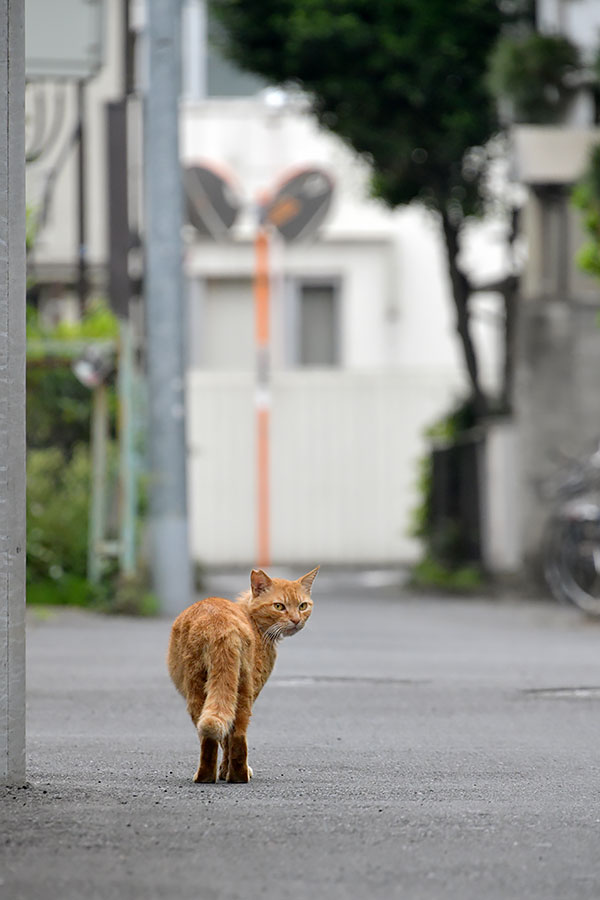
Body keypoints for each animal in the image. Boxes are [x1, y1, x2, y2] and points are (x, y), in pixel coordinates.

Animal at [168, 568, 318, 780]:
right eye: (279, 606)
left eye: (302, 606)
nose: (296, 620)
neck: (252, 620)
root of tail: (219, 623)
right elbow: (226, 740)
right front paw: (225, 770)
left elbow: (224, 740)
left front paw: (224, 771)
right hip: (238, 687)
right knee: (235, 734)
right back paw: (235, 775)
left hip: (203, 688)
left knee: (217, 736)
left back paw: (212, 776)